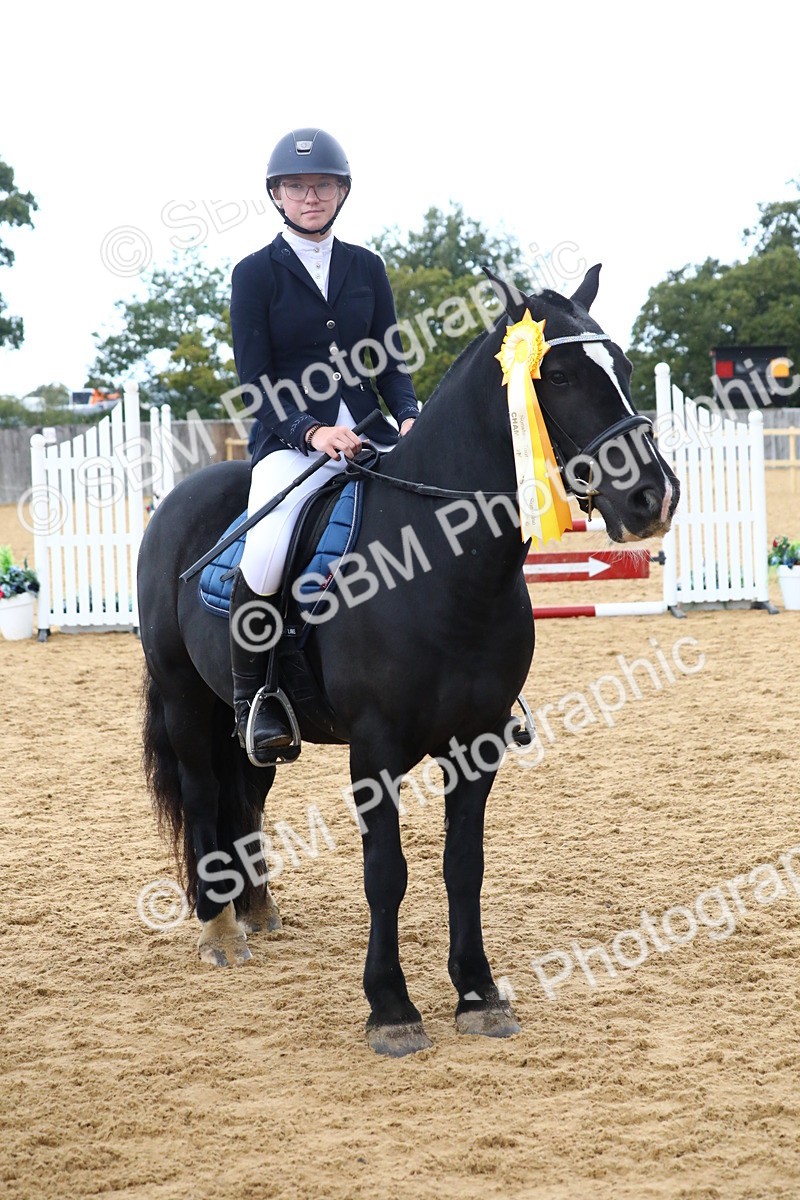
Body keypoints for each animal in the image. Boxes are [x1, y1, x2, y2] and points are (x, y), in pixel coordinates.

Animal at [137, 264, 679, 1057]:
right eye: (560, 376)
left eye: (628, 369)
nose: (652, 497)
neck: (439, 563)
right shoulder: (376, 749)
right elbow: (385, 874)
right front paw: (391, 1008)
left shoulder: (477, 744)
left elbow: (464, 867)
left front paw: (478, 993)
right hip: (183, 697)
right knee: (207, 794)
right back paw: (220, 929)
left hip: (251, 723)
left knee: (249, 790)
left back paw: (259, 909)